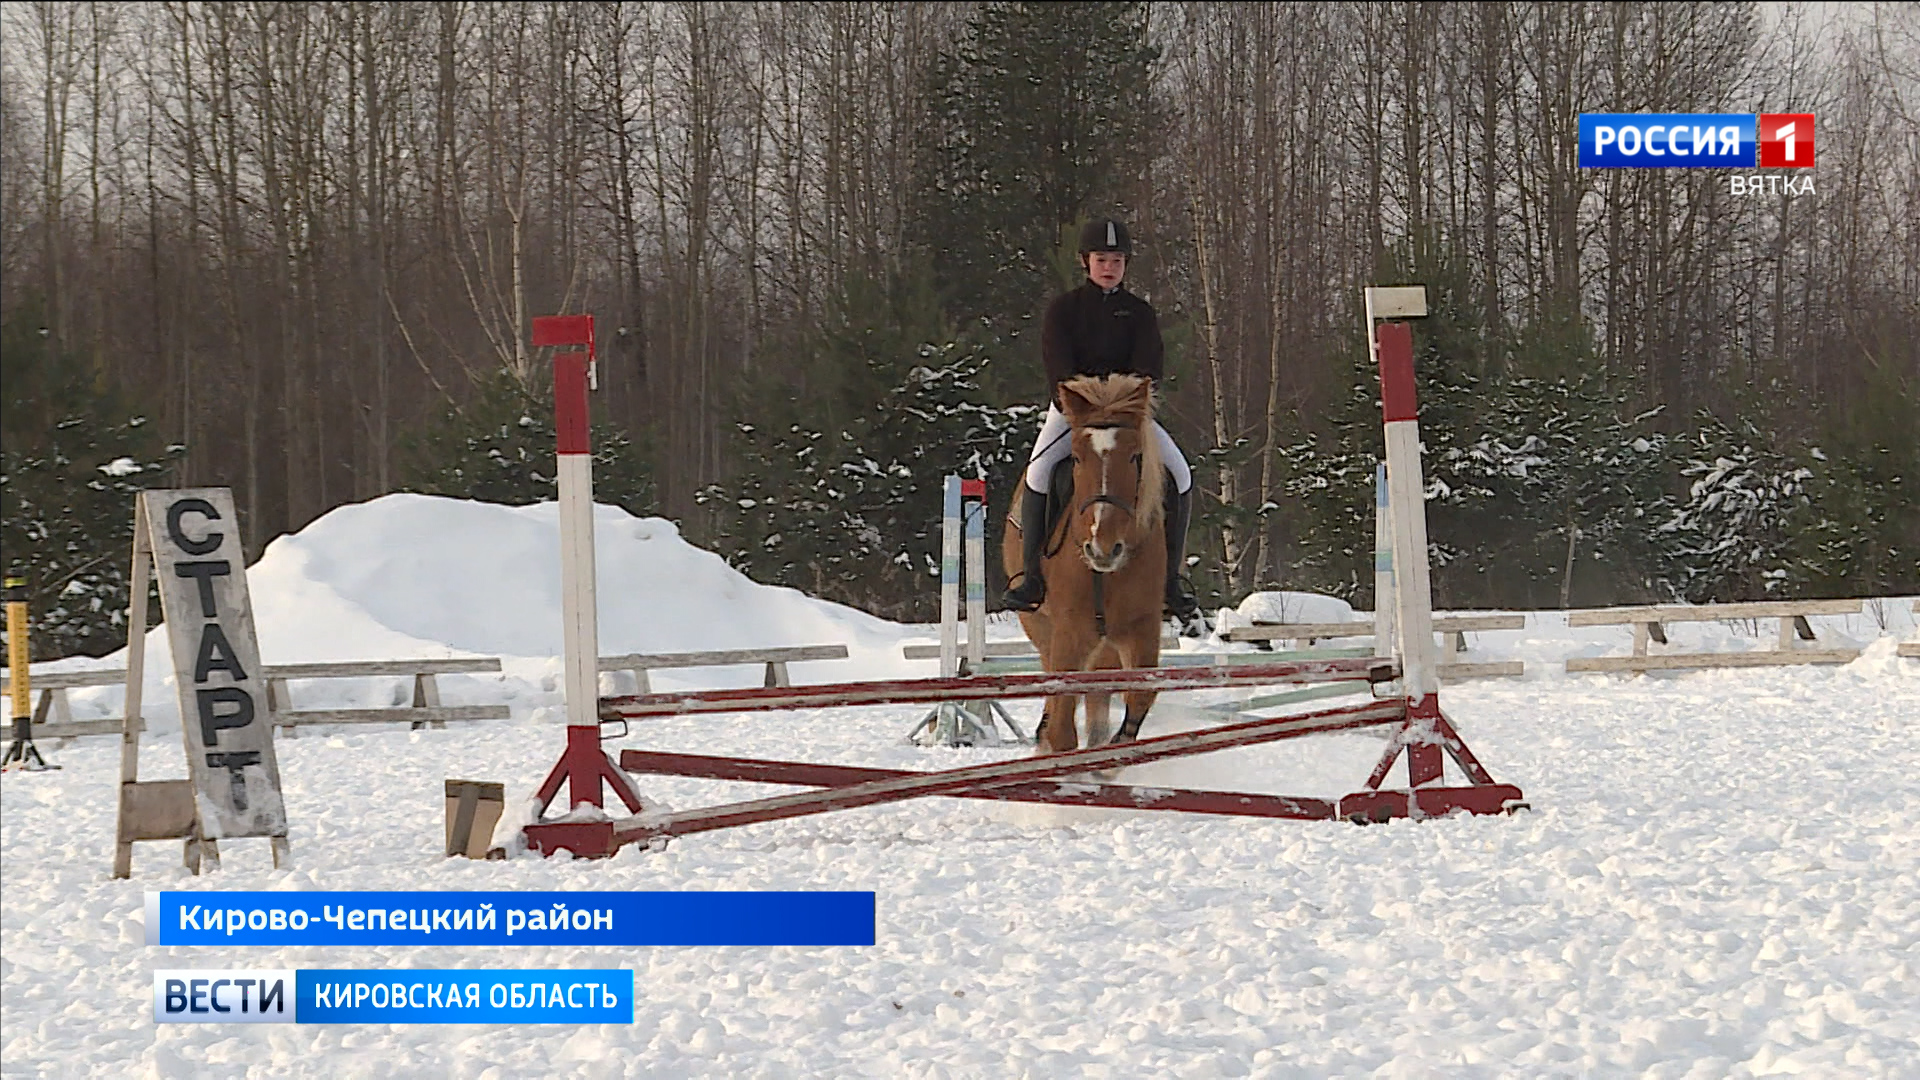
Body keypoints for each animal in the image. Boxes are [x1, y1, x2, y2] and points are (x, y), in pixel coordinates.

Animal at [1006, 374, 1167, 753]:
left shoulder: (1142, 627)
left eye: (1135, 456)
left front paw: (1116, 748)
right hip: (1040, 626)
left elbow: (1141, 695)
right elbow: (1062, 726)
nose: (1102, 549)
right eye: (1077, 459)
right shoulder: (1069, 632)